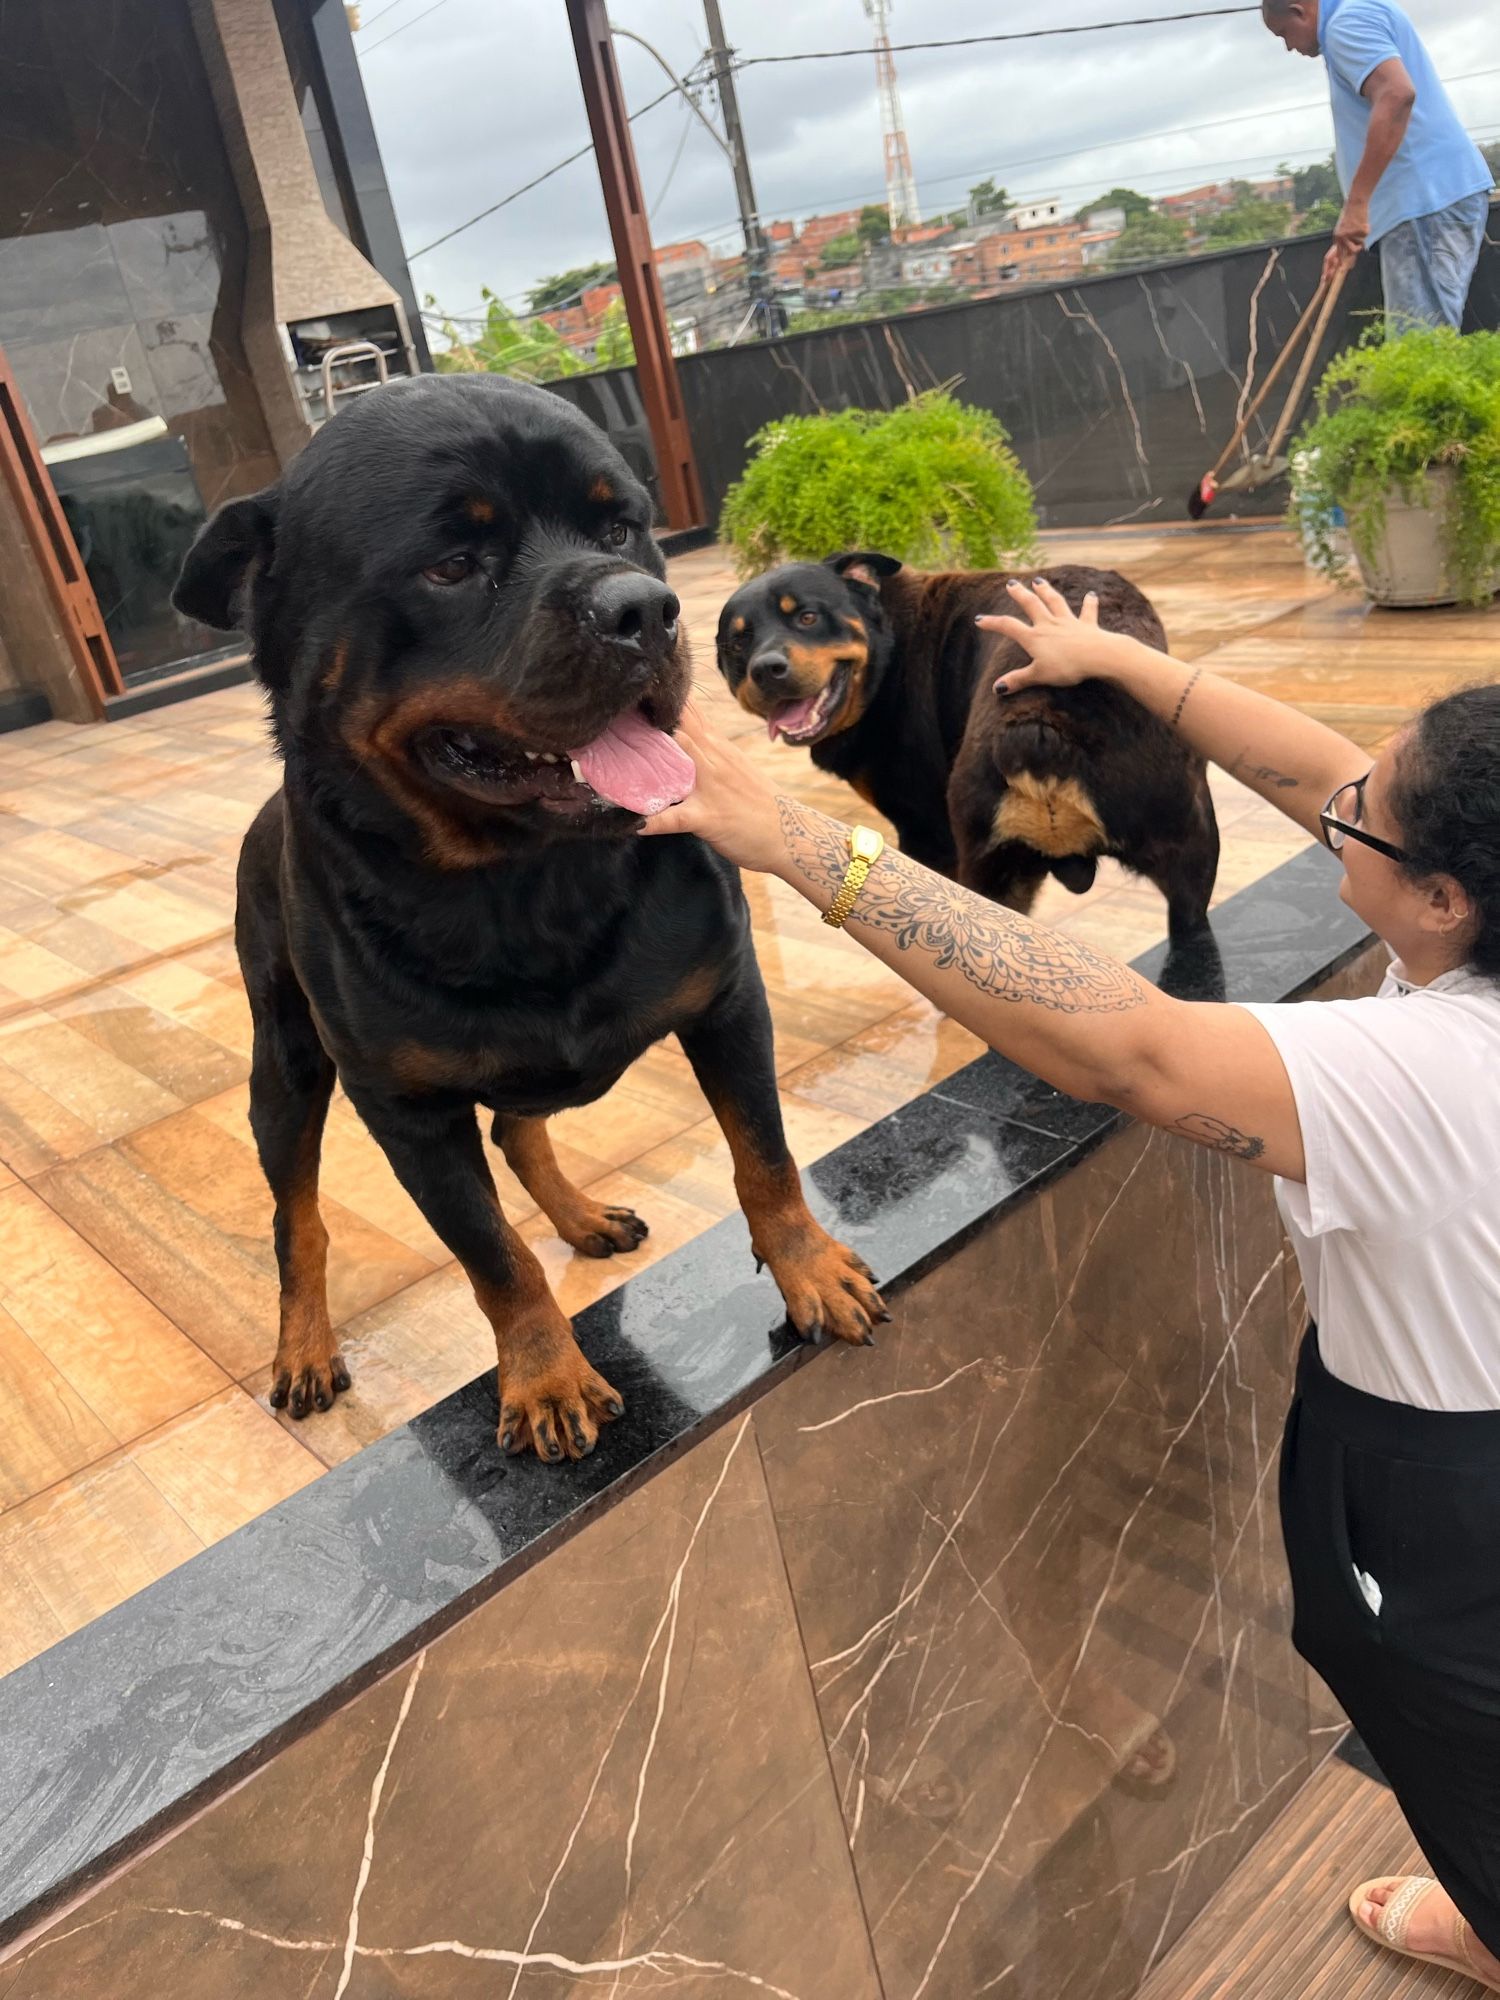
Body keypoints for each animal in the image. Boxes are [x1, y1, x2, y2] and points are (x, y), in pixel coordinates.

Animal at [176, 378, 888, 1472]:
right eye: (451, 563)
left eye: (620, 525)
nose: (646, 609)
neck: (526, 881)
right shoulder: (407, 1110)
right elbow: (492, 1254)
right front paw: (546, 1376)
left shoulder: (728, 998)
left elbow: (765, 1156)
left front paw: (811, 1267)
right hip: (282, 1068)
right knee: (298, 1218)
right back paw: (304, 1344)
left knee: (518, 1124)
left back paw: (583, 1216)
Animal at [724, 556, 1224, 944]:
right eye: (738, 641)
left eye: (807, 617)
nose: (766, 669)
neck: (890, 647)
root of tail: (1038, 720)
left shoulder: (927, 833)